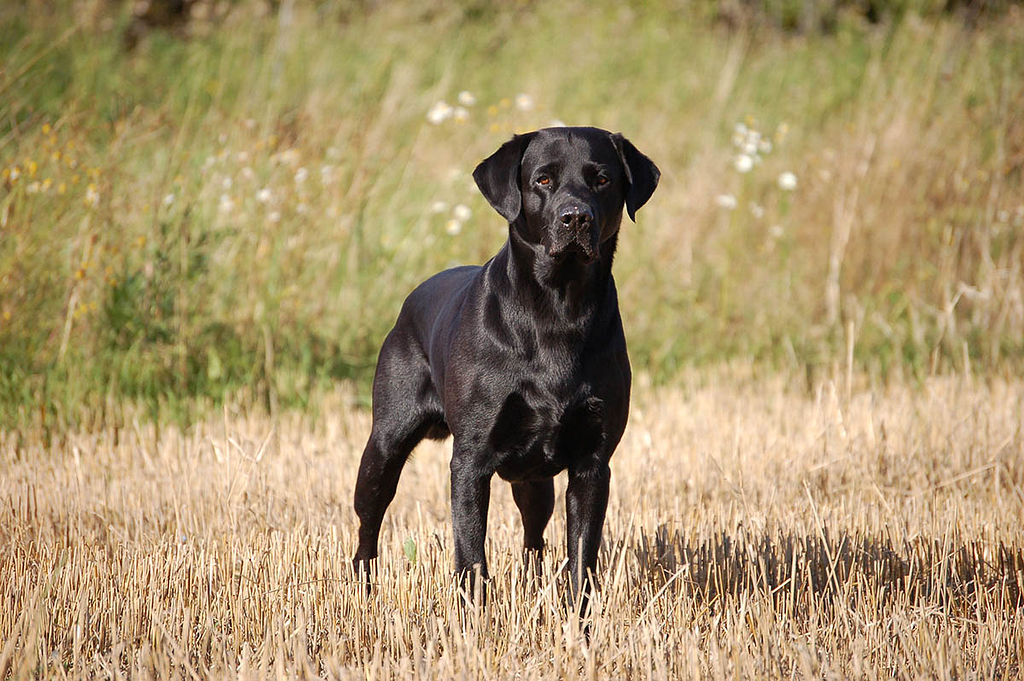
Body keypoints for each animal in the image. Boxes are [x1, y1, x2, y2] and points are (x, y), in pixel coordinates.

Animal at [352, 125, 655, 602]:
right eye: (543, 179)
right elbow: (471, 555)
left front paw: (578, 617)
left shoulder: (592, 463)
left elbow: (581, 557)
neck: (558, 310)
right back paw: (365, 590)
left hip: (535, 479)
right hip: (385, 445)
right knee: (368, 525)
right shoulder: (471, 460)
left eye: (602, 180)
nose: (576, 218)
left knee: (535, 537)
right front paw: (474, 616)